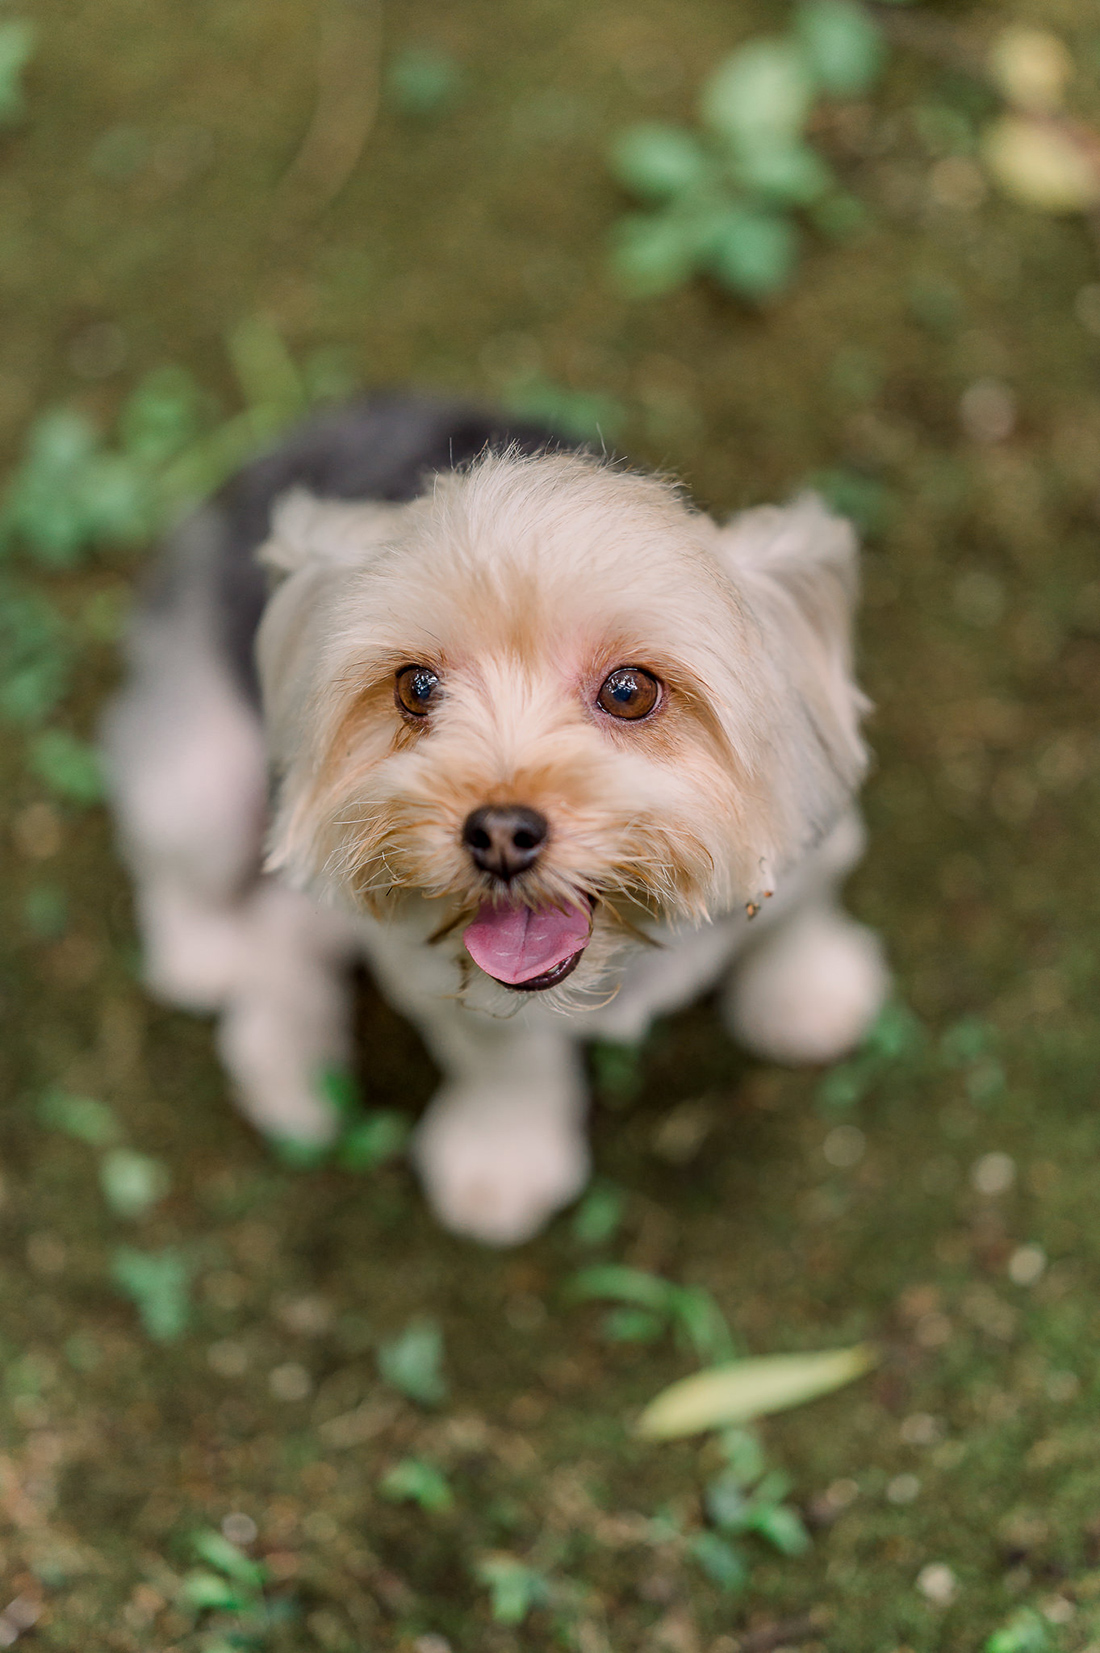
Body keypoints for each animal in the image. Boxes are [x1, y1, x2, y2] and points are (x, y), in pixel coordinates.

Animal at [102, 393, 886, 1243]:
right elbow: (502, 1058)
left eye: (630, 690)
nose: (500, 833)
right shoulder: (438, 971)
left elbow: (794, 917)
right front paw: (502, 1160)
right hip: (201, 784)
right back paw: (224, 980)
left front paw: (806, 994)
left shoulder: (811, 824)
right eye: (416, 687)